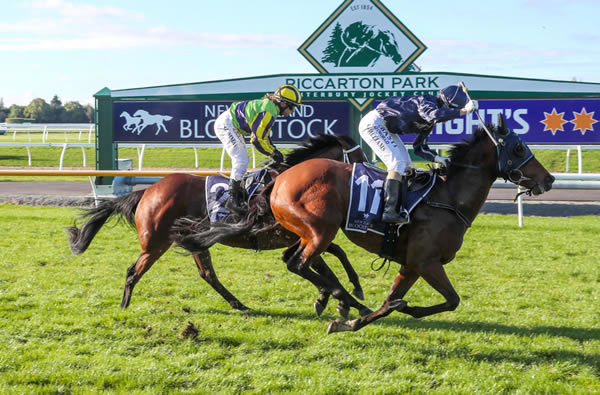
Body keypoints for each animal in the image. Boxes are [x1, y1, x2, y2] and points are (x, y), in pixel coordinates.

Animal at [64, 135, 366, 318]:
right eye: (358, 156)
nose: (370, 175)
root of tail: (147, 191)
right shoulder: (294, 235)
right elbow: (326, 263)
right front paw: (343, 298)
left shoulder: (299, 236)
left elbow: (334, 256)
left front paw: (342, 294)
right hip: (155, 244)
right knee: (133, 272)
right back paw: (124, 307)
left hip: (191, 240)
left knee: (207, 275)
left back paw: (238, 304)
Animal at [264, 114, 556, 334]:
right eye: (519, 148)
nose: (549, 179)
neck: (448, 198)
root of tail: (280, 179)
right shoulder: (426, 262)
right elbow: (451, 299)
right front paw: (391, 309)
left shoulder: (412, 265)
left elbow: (395, 301)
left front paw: (353, 322)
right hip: (321, 232)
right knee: (298, 264)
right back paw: (341, 295)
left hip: (307, 233)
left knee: (293, 258)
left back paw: (336, 298)